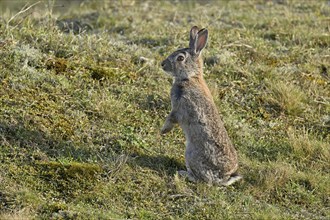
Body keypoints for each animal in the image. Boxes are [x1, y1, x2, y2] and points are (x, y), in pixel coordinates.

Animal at [160, 26, 242, 186]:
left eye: (180, 58)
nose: (162, 64)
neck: (190, 77)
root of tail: (224, 177)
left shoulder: (179, 107)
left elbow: (171, 119)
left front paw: (163, 131)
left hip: (191, 153)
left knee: (204, 181)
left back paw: (184, 174)